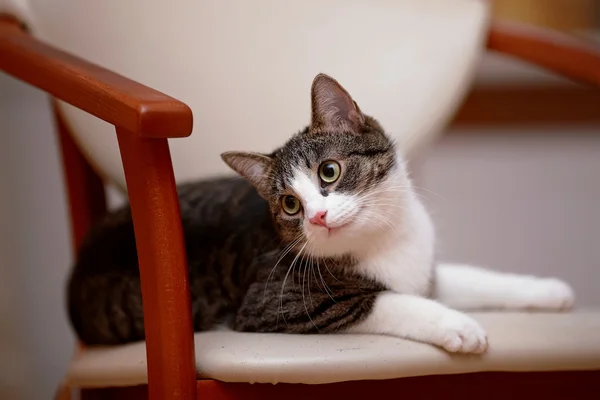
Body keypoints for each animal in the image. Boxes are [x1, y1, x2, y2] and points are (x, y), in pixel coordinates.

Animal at [68, 72, 576, 354]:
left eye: (329, 171)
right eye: (290, 205)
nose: (315, 217)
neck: (382, 240)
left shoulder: (423, 266)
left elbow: (469, 277)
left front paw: (549, 291)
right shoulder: (275, 303)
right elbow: (388, 301)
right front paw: (458, 325)